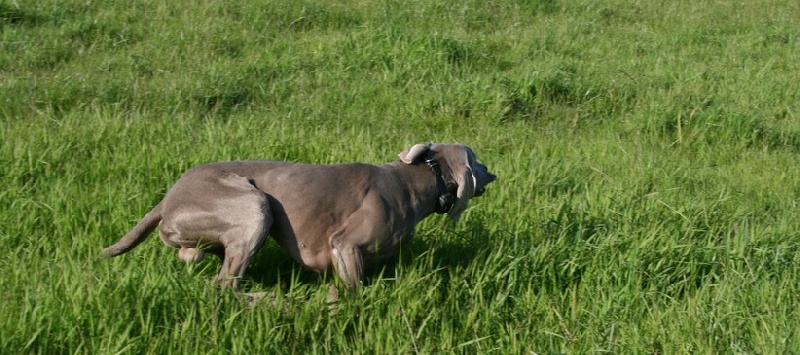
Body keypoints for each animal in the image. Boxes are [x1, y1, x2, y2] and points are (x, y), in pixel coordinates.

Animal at [103, 143, 496, 298]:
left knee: (194, 255)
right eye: (477, 160)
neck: (413, 181)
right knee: (225, 285)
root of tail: (167, 199)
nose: (494, 173)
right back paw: (272, 300)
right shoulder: (345, 244)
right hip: (255, 206)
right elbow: (353, 290)